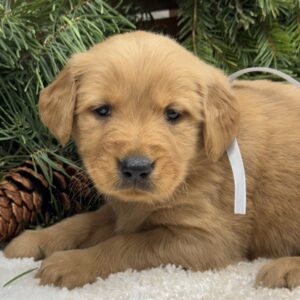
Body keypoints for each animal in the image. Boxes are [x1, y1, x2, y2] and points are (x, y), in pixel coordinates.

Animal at [4, 29, 300, 288]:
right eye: (102, 110)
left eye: (173, 114)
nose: (136, 168)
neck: (193, 164)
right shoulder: (123, 208)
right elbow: (82, 221)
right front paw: (35, 240)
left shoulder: (208, 241)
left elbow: (127, 244)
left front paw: (72, 263)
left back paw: (284, 269)